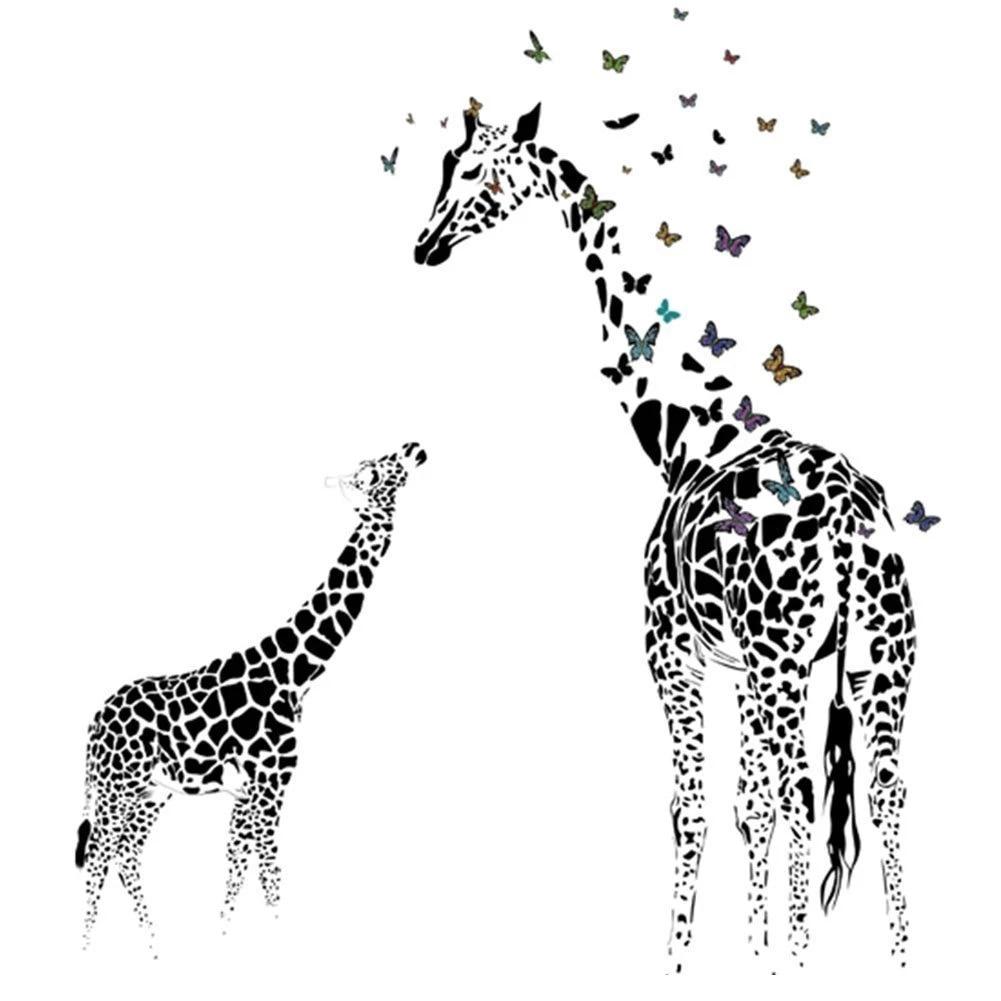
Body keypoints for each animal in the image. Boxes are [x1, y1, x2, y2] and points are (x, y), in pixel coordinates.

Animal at [75, 442, 428, 955]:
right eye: (379, 470)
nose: (415, 448)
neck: (296, 672)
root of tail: (94, 720)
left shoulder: (250, 793)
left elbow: (239, 865)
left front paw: (222, 940)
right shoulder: (269, 785)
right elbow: (269, 871)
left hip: (151, 792)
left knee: (126, 852)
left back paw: (155, 946)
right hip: (115, 785)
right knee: (100, 853)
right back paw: (86, 947)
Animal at [414, 104, 914, 971]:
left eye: (469, 170)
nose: (424, 244)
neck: (684, 434)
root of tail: (851, 523)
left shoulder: (672, 648)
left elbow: (698, 808)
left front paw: (695, 959)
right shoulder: (741, 662)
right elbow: (756, 805)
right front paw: (764, 955)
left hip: (792, 662)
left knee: (800, 789)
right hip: (879, 657)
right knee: (879, 794)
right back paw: (903, 959)